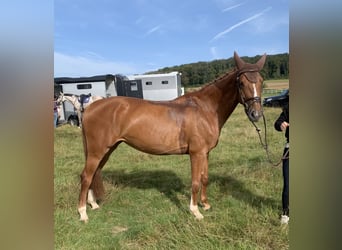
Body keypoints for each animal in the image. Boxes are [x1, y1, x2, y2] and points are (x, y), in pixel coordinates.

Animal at [78, 50, 268, 221]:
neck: (205, 108)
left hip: (107, 150)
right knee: (86, 176)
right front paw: (195, 211)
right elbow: (195, 182)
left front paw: (205, 204)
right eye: (241, 83)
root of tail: (91, 107)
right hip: (97, 151)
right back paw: (82, 213)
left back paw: (93, 204)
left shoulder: (205, 153)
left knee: (94, 174)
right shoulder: (196, 153)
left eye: (261, 81)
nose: (256, 114)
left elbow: (205, 178)